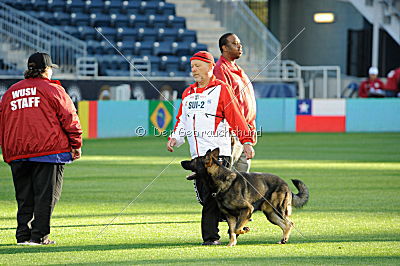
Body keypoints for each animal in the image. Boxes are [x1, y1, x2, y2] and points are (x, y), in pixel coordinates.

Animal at [181, 149, 310, 246]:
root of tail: (286, 184)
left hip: (278, 210)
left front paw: (245, 229)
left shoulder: (247, 209)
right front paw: (231, 244)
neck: (222, 180)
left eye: (193, 161)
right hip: (271, 215)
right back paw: (283, 240)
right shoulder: (230, 216)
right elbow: (232, 231)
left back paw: (284, 239)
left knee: (290, 223)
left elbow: (236, 228)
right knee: (285, 225)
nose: (181, 161)